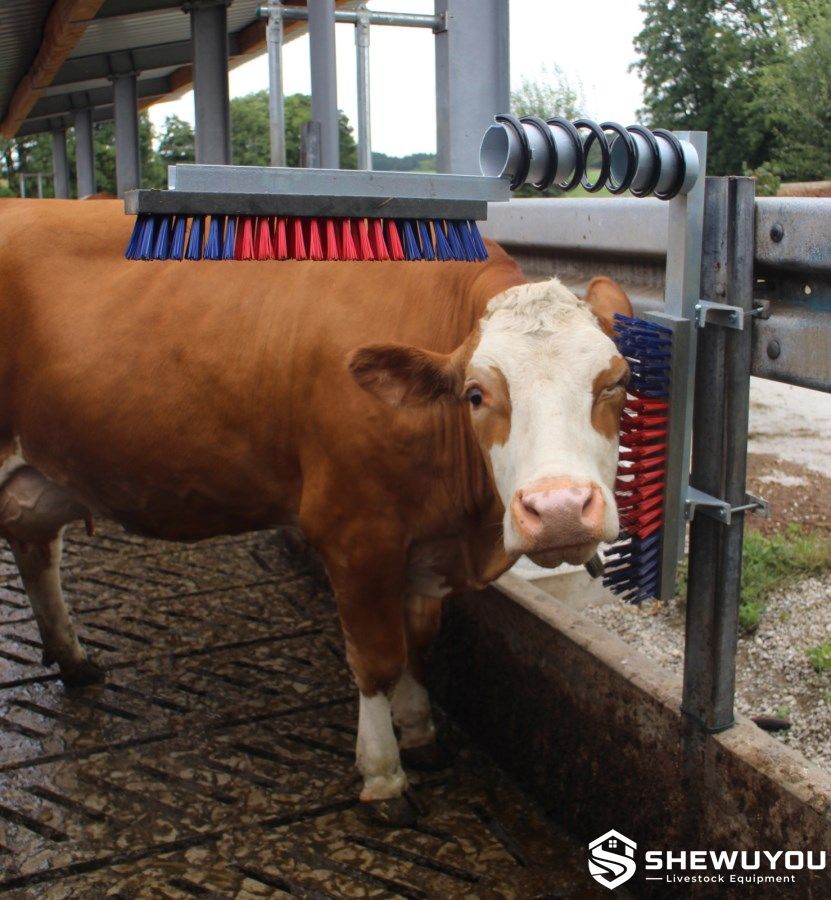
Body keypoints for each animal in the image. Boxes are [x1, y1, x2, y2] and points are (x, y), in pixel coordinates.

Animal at [0, 199, 632, 822]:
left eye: (617, 383)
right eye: (476, 394)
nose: (559, 509)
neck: (464, 528)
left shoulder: (423, 543)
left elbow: (417, 643)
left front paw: (419, 733)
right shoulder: (354, 532)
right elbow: (378, 657)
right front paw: (383, 775)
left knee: (35, 548)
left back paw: (73, 659)